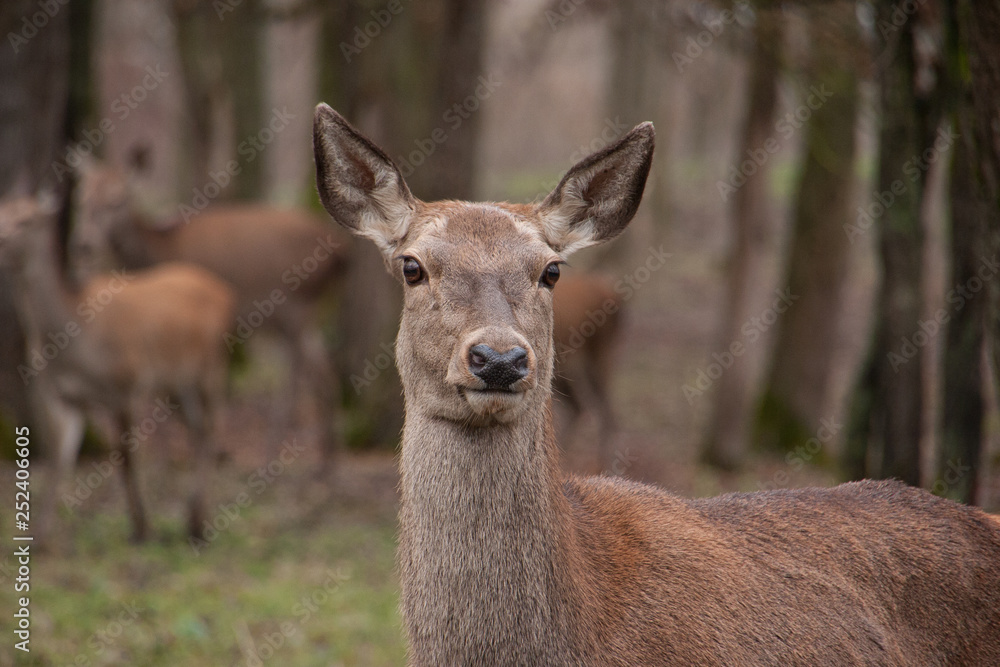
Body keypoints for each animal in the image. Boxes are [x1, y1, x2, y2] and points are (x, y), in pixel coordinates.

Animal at [0, 194, 236, 544]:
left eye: (26, 220)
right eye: (0, 214)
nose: (2, 240)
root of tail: (226, 292)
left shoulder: (126, 386)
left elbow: (127, 456)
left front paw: (142, 528)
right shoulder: (60, 395)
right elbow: (59, 458)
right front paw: (39, 538)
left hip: (212, 366)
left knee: (215, 426)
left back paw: (198, 523)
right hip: (175, 383)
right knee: (199, 431)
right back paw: (192, 519)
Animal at [72, 160, 350, 468]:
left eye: (117, 200)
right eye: (82, 198)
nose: (84, 244)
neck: (159, 250)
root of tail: (342, 254)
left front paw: (180, 458)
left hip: (297, 309)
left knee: (296, 384)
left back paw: (273, 457)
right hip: (300, 319)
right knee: (326, 375)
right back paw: (326, 465)